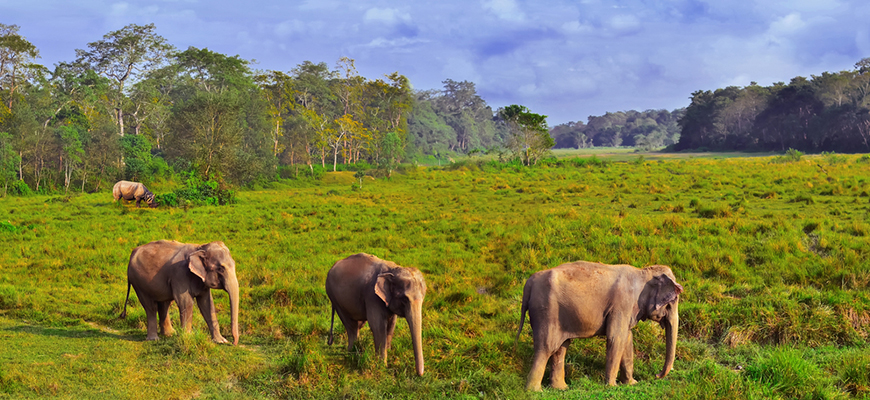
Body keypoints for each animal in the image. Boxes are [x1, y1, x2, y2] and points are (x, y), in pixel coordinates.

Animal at [516, 260, 684, 390]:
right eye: (672, 301)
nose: (656, 375)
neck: (642, 272)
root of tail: (529, 282)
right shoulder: (622, 304)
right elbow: (616, 338)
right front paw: (612, 386)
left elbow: (627, 339)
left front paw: (632, 384)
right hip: (546, 311)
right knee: (547, 347)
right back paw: (534, 391)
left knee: (561, 348)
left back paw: (561, 388)